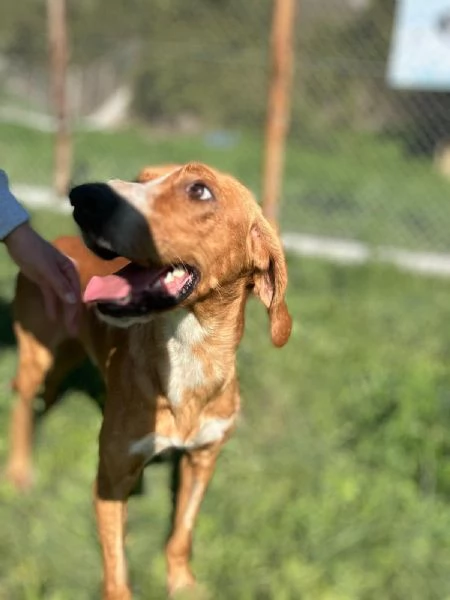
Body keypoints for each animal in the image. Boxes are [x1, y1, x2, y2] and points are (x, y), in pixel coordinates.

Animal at [7, 162, 292, 596]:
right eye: (141, 177)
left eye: (199, 190)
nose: (82, 196)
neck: (188, 354)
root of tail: (56, 240)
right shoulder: (112, 476)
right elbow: (116, 570)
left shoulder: (203, 459)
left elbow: (181, 535)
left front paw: (182, 583)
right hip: (35, 357)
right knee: (22, 402)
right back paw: (19, 471)